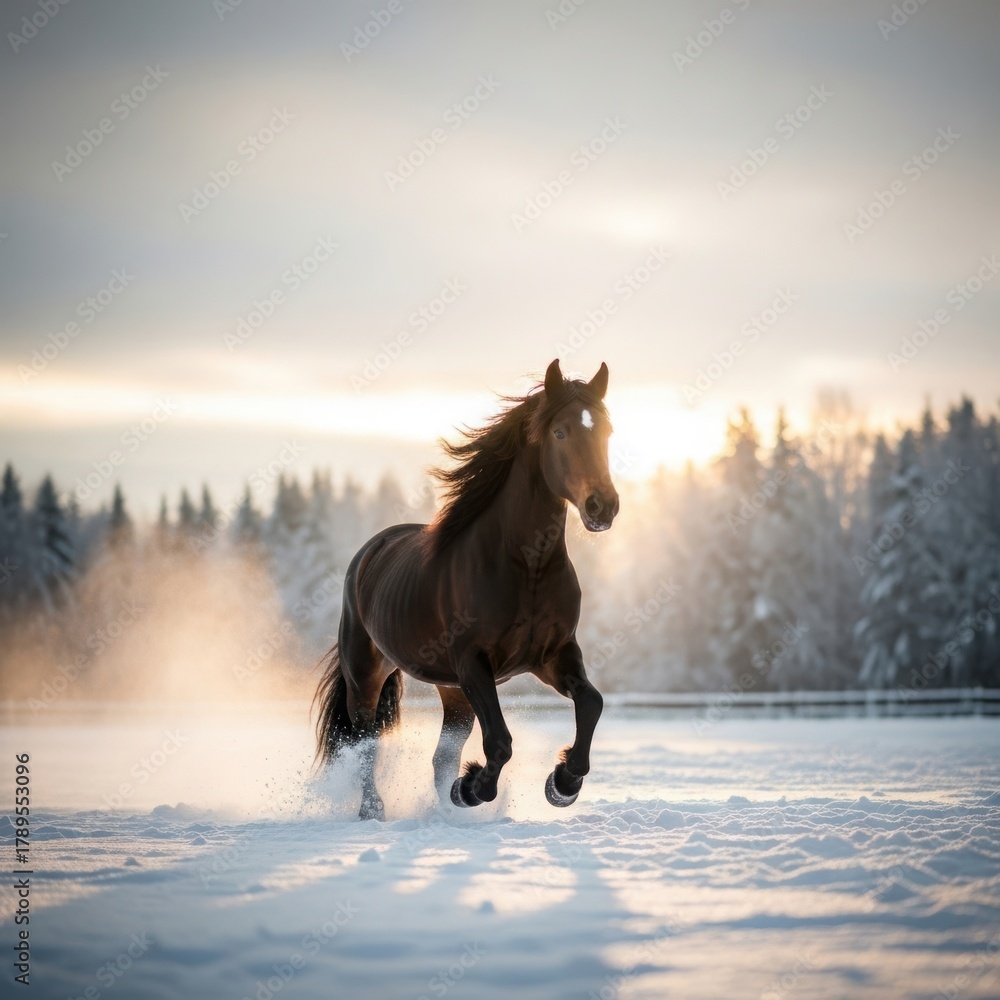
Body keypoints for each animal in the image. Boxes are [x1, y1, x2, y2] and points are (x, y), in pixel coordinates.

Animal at [312, 359, 619, 820]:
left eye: (607, 431)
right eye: (560, 432)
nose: (603, 506)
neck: (525, 568)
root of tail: (370, 552)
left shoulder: (553, 654)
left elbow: (592, 702)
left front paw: (562, 783)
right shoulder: (473, 662)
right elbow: (499, 742)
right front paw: (473, 787)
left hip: (452, 692)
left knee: (438, 757)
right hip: (366, 673)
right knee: (364, 742)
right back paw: (374, 810)